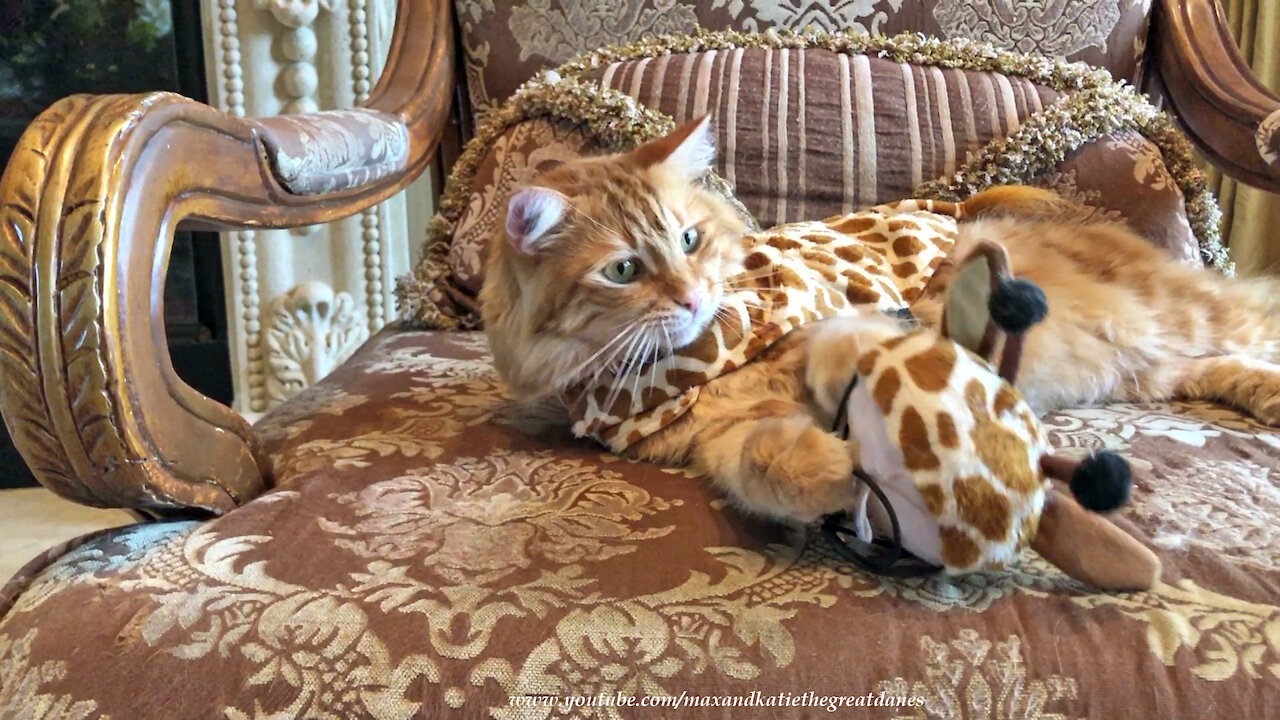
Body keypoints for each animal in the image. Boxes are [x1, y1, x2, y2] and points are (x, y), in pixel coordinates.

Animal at [481, 117, 1280, 520]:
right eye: (623, 270)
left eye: (687, 239)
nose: (689, 297)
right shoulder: (718, 437)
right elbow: (761, 462)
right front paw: (835, 471)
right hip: (1148, 365)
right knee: (1214, 369)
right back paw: (1265, 396)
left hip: (1184, 315)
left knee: (1255, 315)